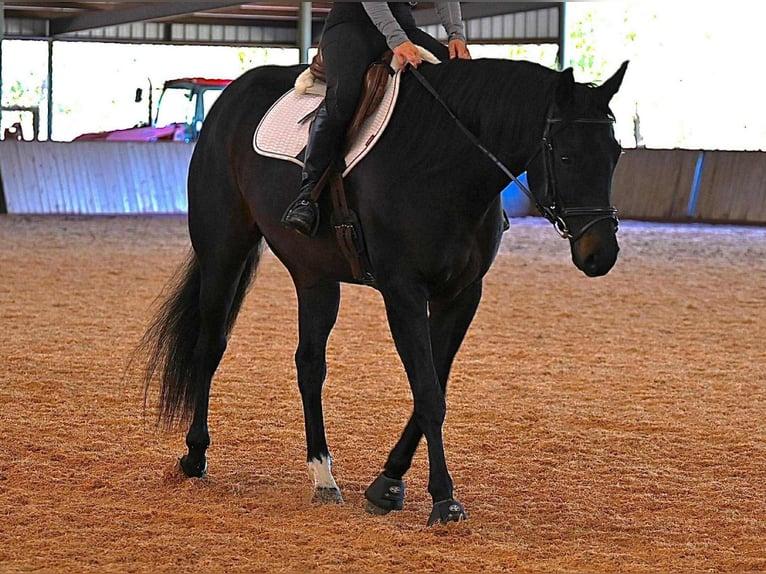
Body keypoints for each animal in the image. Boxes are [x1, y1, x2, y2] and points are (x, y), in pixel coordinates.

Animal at [139, 56, 629, 526]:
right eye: (566, 157)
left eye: (616, 153)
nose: (600, 254)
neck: (443, 166)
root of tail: (231, 96)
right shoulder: (403, 292)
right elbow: (428, 393)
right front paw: (443, 500)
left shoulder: (462, 295)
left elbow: (434, 386)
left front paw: (388, 483)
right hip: (224, 249)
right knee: (209, 347)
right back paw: (195, 455)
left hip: (314, 275)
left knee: (309, 365)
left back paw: (323, 476)